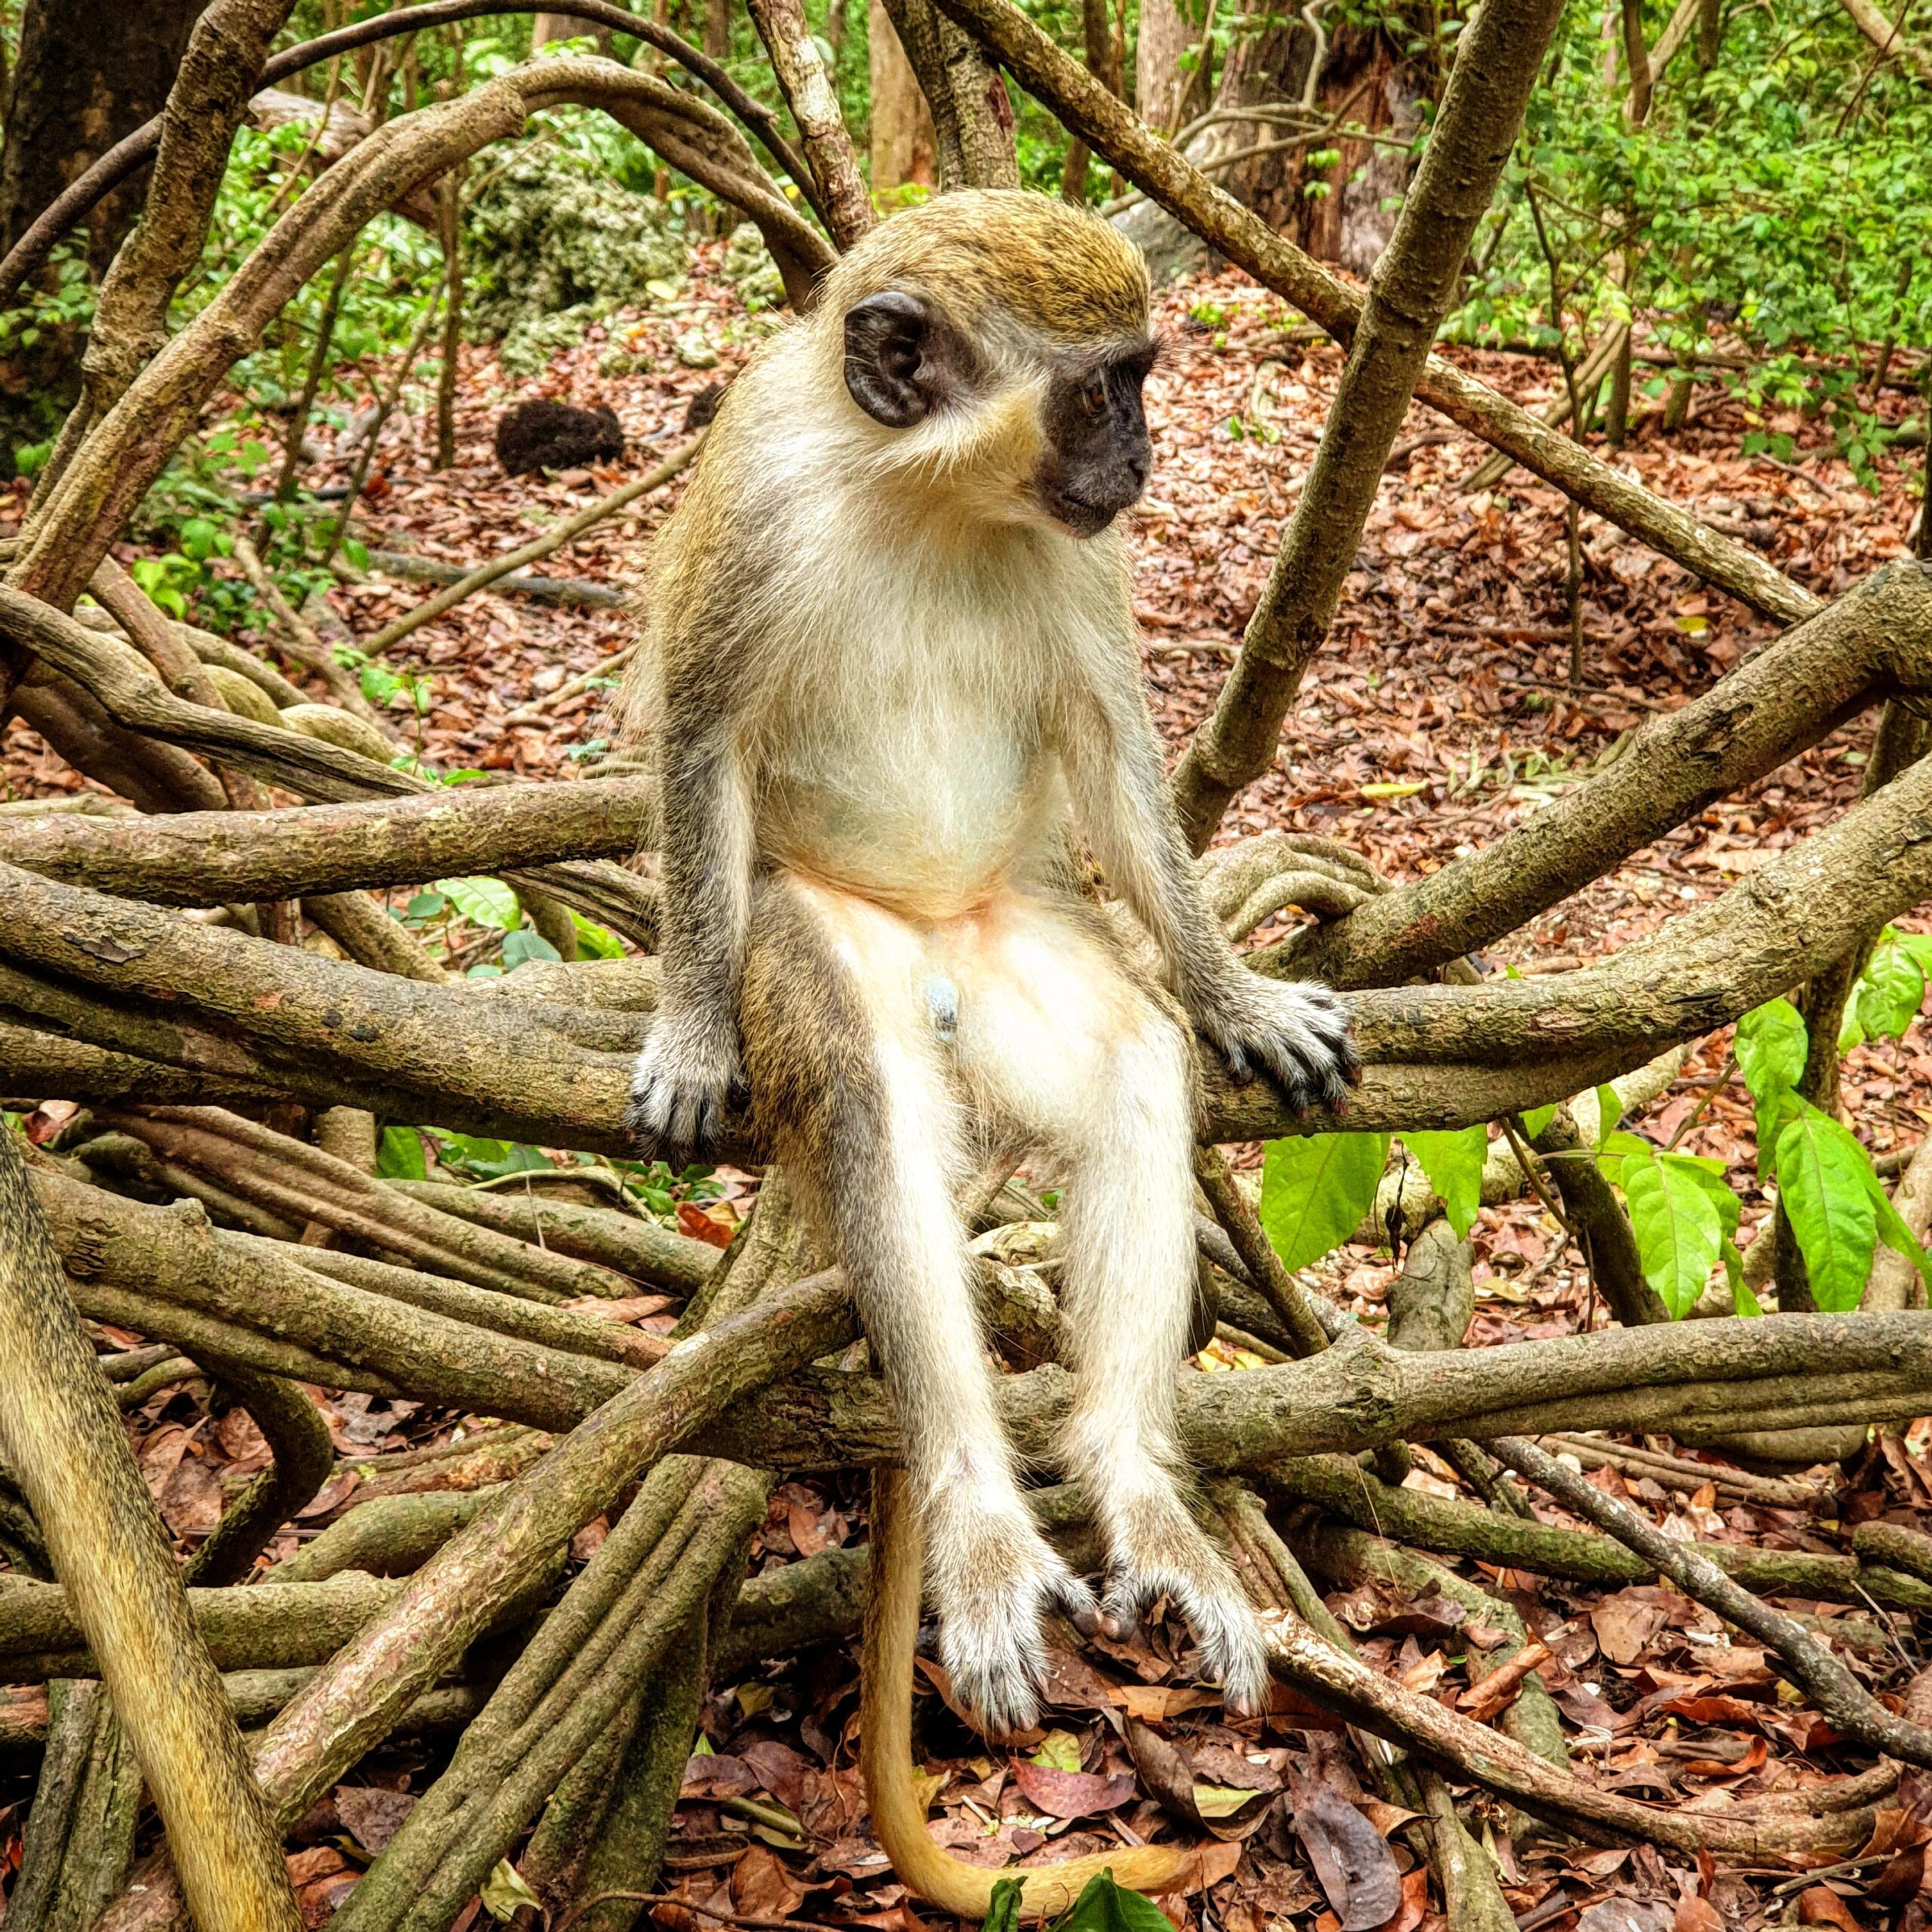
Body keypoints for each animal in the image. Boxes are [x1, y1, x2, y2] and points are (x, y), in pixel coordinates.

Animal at [622, 190, 1354, 1913]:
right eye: (1101, 389)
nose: (1144, 452)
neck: (925, 490)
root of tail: (944, 932)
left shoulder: (1079, 557)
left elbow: (1111, 749)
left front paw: (1234, 988)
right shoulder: (757, 499)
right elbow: (699, 732)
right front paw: (688, 1017)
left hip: (1020, 935)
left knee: (1132, 1065)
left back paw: (1138, 1492)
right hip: (846, 944)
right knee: (870, 1091)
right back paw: (975, 1508)